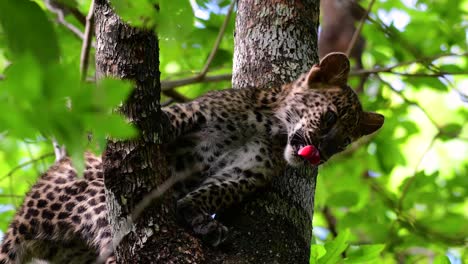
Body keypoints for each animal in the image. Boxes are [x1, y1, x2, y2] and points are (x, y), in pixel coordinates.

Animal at [0, 52, 384, 262]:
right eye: (330, 118)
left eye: (343, 143)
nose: (320, 155)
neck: (271, 129)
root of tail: (20, 220)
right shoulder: (198, 112)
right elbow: (174, 120)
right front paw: (157, 123)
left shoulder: (246, 172)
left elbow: (215, 191)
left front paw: (199, 217)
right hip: (95, 198)